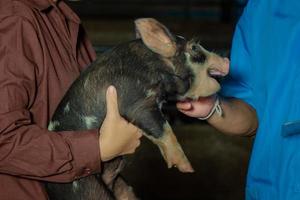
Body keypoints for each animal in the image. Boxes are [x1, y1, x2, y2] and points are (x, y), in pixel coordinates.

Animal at [44, 18, 229, 199]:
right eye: (194, 47)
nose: (227, 61)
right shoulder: (136, 103)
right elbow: (163, 128)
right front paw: (188, 168)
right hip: (85, 188)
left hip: (121, 185)